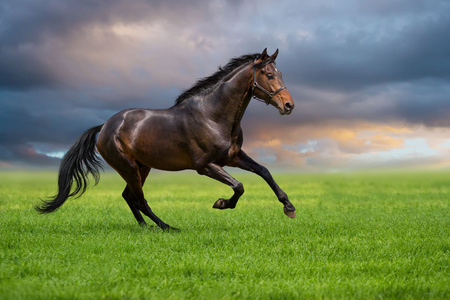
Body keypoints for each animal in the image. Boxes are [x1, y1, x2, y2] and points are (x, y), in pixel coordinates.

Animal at [37, 48, 298, 230]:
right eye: (269, 74)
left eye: (280, 73)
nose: (289, 105)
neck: (213, 115)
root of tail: (105, 126)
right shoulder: (205, 166)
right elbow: (239, 186)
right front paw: (221, 203)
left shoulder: (233, 157)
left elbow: (264, 171)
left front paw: (289, 207)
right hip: (128, 167)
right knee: (139, 199)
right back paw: (167, 227)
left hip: (142, 167)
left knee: (129, 197)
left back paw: (145, 227)